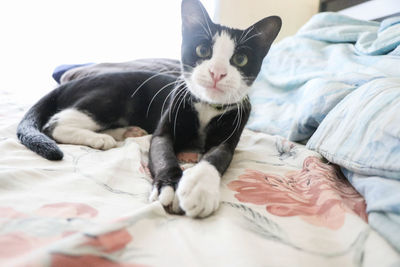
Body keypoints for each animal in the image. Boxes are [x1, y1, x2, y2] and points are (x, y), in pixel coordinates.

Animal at [16, 0, 282, 219]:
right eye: (202, 50)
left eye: (240, 60)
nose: (217, 72)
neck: (206, 106)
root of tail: (71, 82)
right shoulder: (166, 126)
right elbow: (163, 153)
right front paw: (169, 187)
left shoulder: (232, 131)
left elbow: (216, 156)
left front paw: (199, 188)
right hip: (111, 95)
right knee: (54, 123)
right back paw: (101, 138)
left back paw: (125, 133)